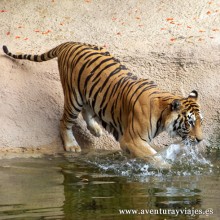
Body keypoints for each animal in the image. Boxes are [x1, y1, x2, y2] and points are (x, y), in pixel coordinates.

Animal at [3, 41, 203, 163]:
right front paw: (166, 169)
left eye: (201, 122)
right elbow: (155, 158)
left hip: (91, 92)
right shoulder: (133, 140)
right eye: (190, 123)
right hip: (73, 97)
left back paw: (96, 130)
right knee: (65, 121)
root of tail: (68, 43)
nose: (200, 140)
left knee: (88, 109)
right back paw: (72, 146)